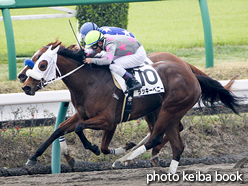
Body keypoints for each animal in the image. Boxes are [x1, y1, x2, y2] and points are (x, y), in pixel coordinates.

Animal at [21, 42, 242, 173]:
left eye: (42, 64)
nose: (25, 85)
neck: (90, 82)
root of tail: (190, 73)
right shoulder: (83, 115)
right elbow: (59, 129)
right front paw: (34, 158)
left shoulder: (108, 121)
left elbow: (82, 132)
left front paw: (95, 148)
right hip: (165, 112)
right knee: (176, 143)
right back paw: (165, 170)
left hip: (170, 109)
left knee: (156, 137)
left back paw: (125, 160)